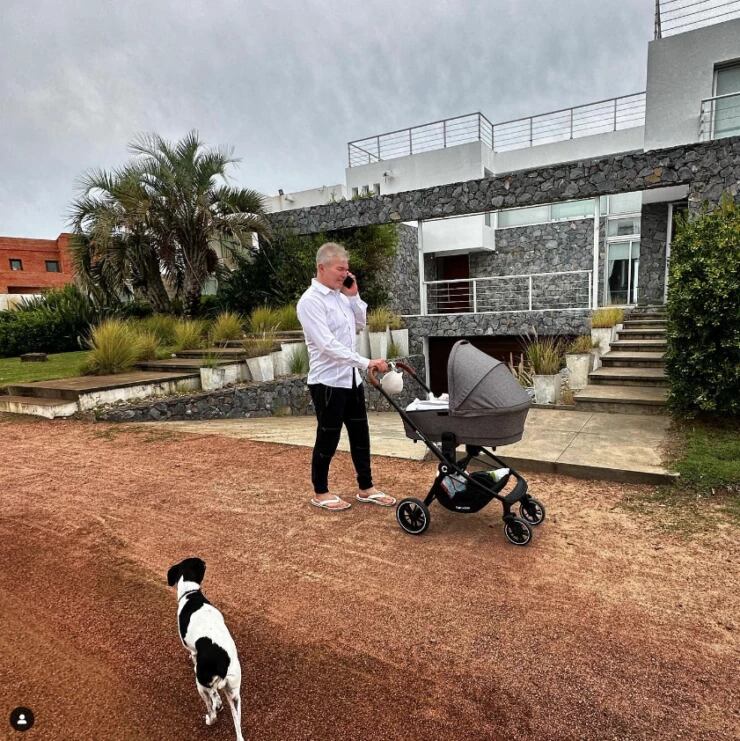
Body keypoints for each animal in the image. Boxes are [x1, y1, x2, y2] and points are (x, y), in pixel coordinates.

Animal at [166, 556, 244, 736]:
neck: (191, 594)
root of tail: (223, 665)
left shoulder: (193, 651)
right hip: (235, 695)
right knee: (238, 730)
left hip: (201, 685)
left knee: (212, 712)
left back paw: (210, 718)